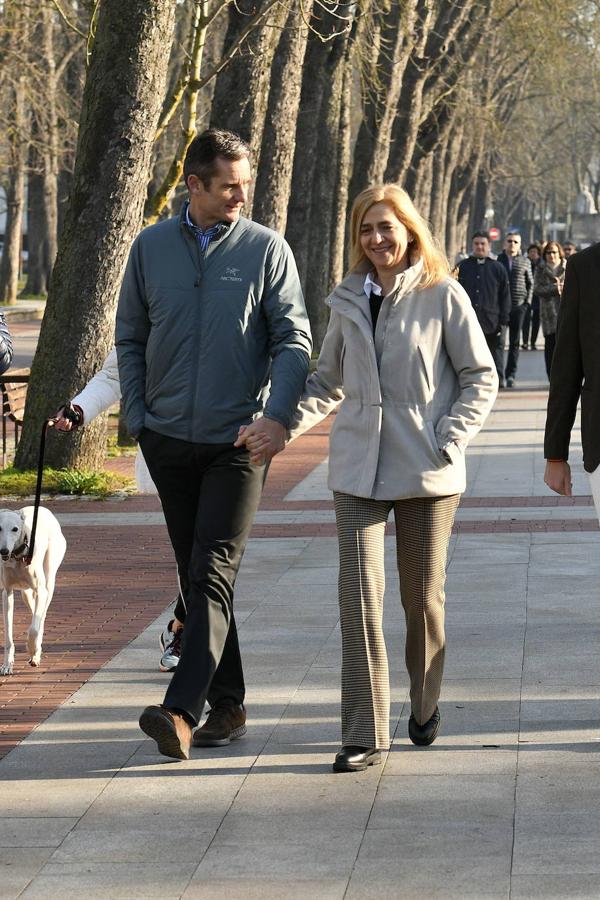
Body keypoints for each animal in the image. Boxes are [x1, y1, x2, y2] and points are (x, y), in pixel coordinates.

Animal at [0, 506, 66, 676]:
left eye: (15, 529)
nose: (3, 551)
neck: (18, 556)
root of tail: (43, 508)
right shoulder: (7, 592)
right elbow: (8, 635)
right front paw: (7, 665)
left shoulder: (41, 591)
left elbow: (34, 629)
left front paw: (32, 650)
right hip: (26, 593)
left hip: (49, 582)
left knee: (41, 618)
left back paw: (36, 652)